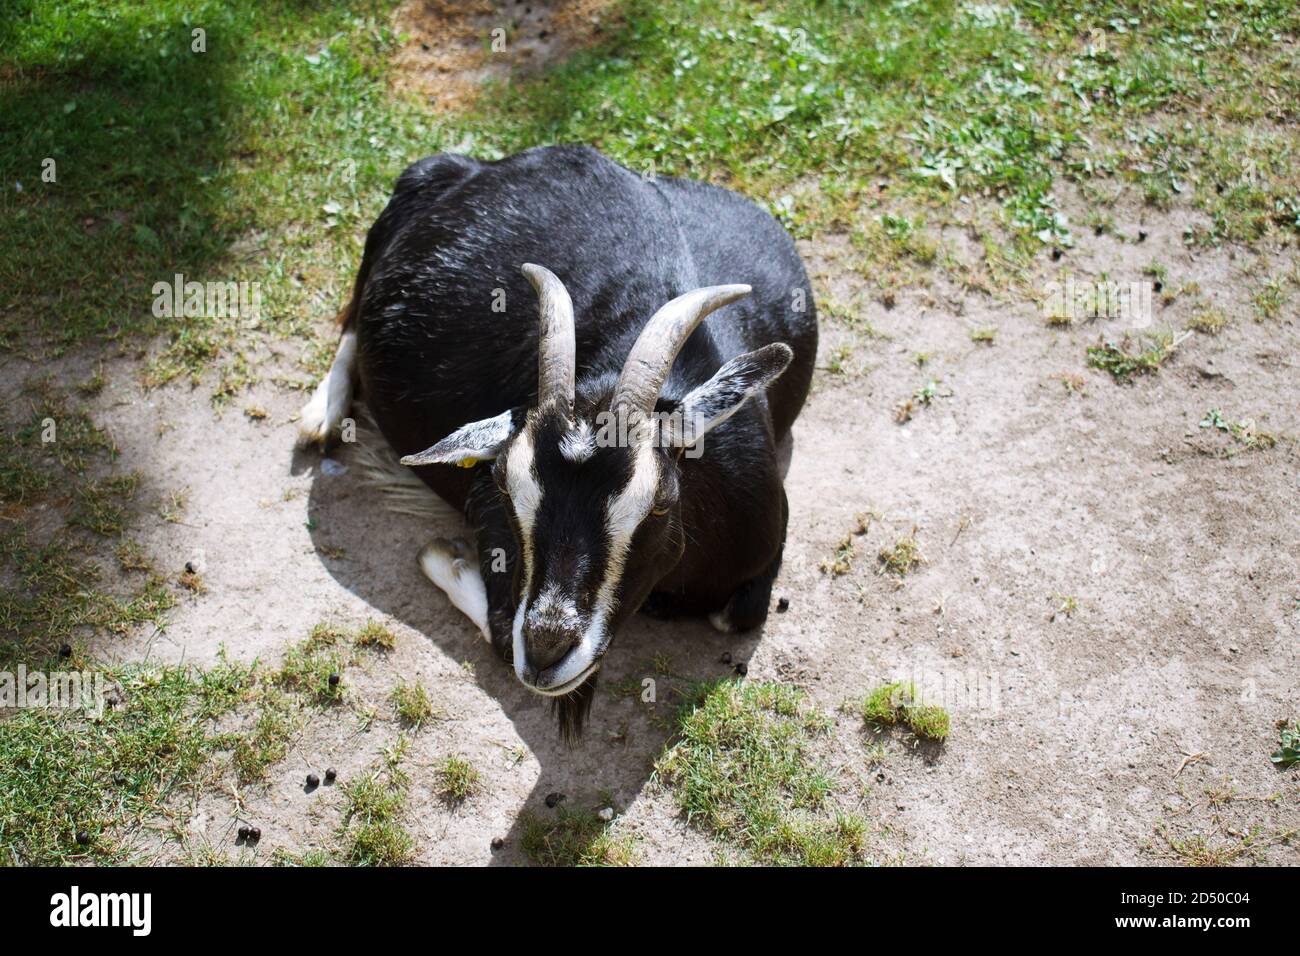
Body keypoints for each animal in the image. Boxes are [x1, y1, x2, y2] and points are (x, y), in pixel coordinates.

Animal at [300, 145, 817, 740]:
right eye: (506, 486)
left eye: (662, 503)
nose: (548, 651)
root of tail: (481, 166)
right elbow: (502, 627)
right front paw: (445, 559)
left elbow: (739, 613)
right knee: (352, 317)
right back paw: (321, 414)